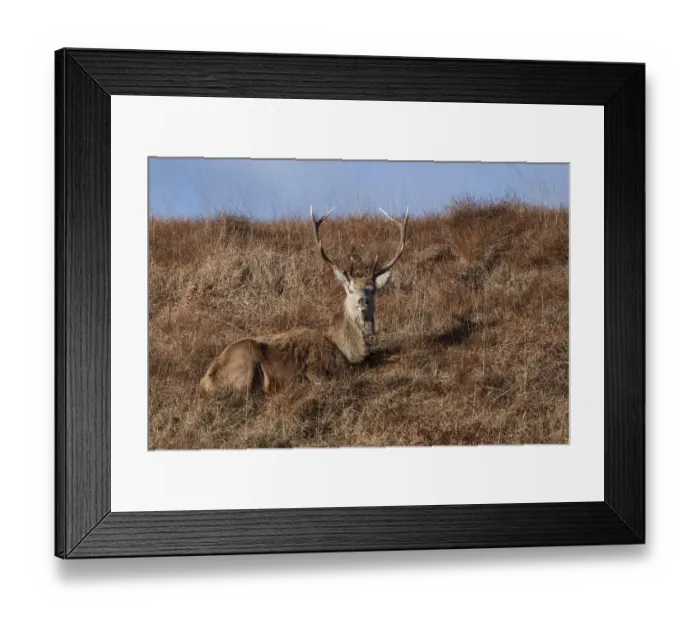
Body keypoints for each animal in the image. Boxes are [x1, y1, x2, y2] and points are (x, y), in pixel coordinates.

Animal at [198, 205, 409, 401]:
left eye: (372, 290)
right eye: (350, 290)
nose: (362, 301)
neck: (346, 351)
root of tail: (205, 380)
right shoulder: (316, 369)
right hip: (245, 359)